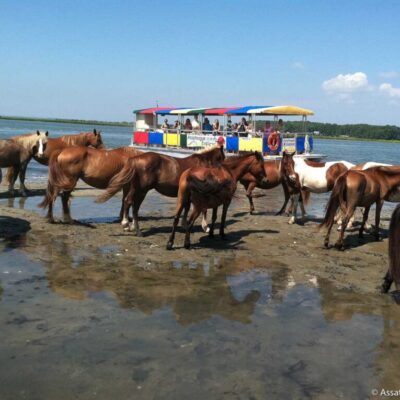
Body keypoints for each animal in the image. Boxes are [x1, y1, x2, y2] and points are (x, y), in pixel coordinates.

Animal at [94, 146, 225, 234]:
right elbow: (203, 209)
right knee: (130, 202)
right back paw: (127, 224)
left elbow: (186, 208)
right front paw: (205, 227)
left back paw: (129, 225)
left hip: (136, 188)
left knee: (128, 201)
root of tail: (135, 159)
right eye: (222, 157)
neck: (201, 166)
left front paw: (184, 224)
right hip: (141, 190)